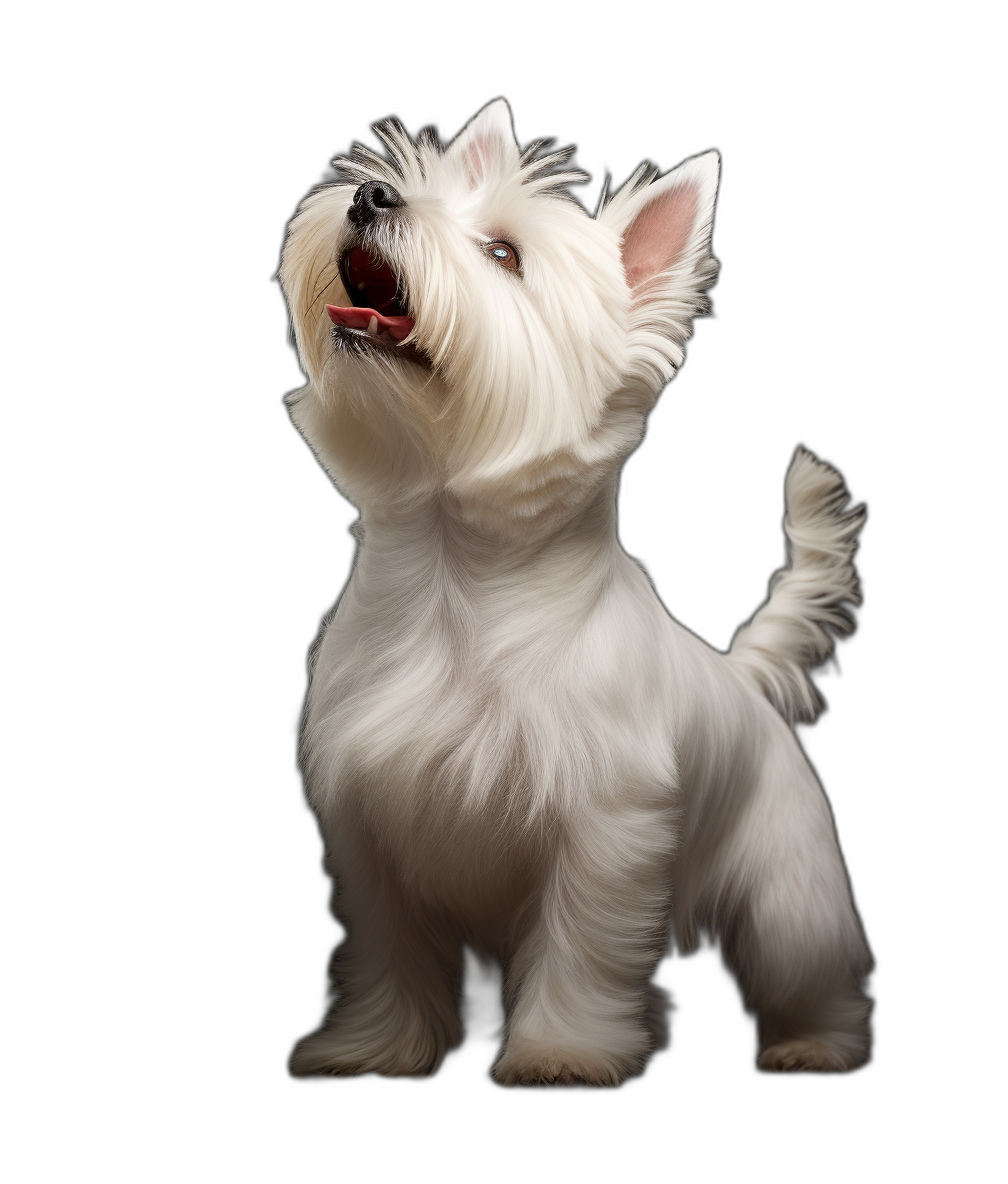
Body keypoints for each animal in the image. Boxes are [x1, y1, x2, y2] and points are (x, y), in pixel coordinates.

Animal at [279, 101, 871, 1084]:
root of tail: (739, 678)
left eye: (503, 254)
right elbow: (389, 946)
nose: (370, 196)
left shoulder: (605, 831)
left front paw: (560, 1051)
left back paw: (812, 1045)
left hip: (788, 883)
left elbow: (583, 946)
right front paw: (377, 1047)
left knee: (805, 963)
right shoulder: (369, 825)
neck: (453, 571)